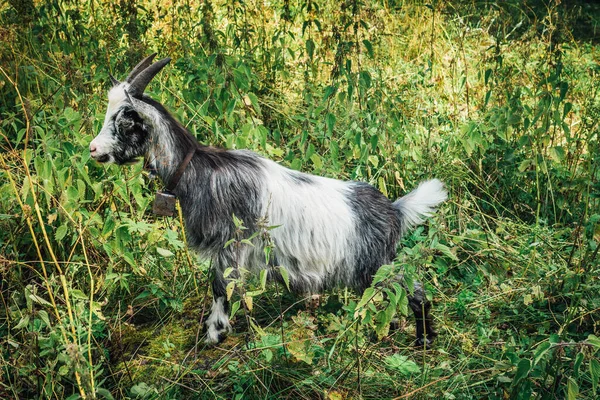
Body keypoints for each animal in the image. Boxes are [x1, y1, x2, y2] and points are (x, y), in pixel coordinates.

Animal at [88, 54, 446, 346]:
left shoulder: (229, 245)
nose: (93, 149)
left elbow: (221, 287)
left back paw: (424, 339)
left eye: (125, 120)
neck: (197, 170)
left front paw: (214, 333)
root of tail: (394, 210)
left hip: (376, 265)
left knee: (413, 289)